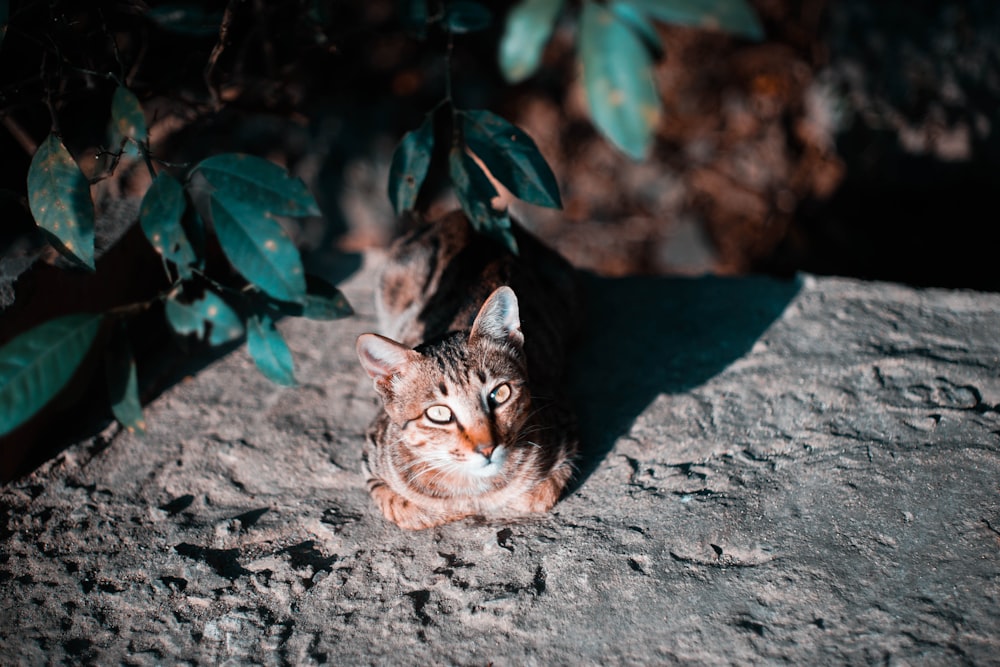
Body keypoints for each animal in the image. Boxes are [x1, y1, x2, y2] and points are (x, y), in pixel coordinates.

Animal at [358, 211, 580, 528]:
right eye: (439, 414)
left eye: (499, 394)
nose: (487, 449)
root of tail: (462, 213)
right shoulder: (371, 455)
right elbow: (403, 507)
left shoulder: (565, 427)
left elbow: (536, 495)